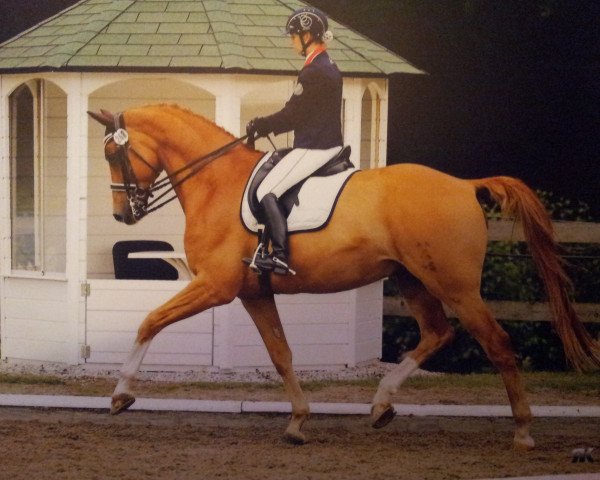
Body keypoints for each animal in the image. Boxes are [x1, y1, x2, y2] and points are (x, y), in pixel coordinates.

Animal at [90, 103, 600, 448]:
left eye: (113, 153)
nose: (120, 215)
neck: (217, 183)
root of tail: (463, 185)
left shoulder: (216, 286)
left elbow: (150, 321)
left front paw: (120, 394)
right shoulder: (254, 293)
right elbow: (281, 354)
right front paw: (298, 421)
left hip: (456, 286)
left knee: (497, 344)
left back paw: (523, 432)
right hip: (412, 279)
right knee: (437, 333)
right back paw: (381, 405)